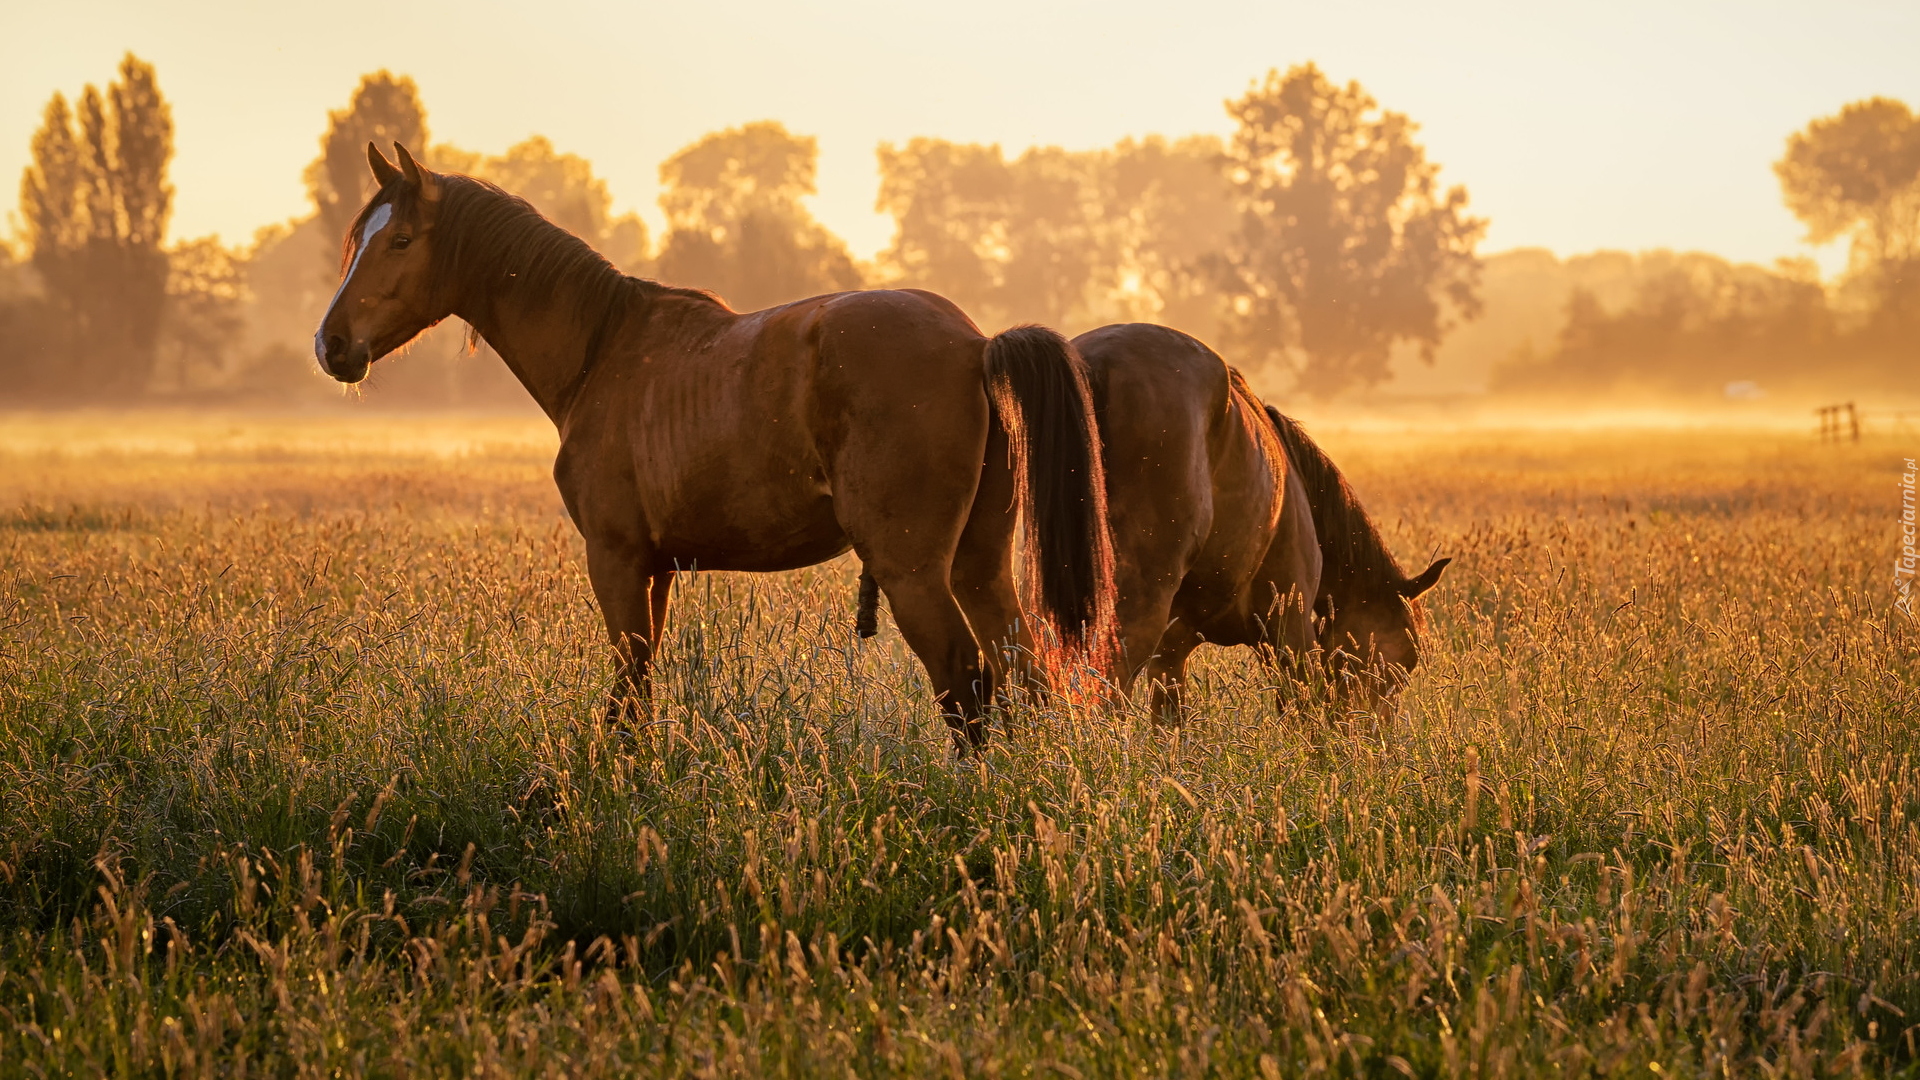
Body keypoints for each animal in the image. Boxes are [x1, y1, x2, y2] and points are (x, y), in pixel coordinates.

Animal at [311, 145, 1113, 749]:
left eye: (400, 241)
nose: (331, 345)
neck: (604, 350)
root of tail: (975, 345)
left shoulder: (615, 559)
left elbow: (628, 690)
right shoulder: (656, 569)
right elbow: (636, 690)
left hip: (912, 571)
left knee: (965, 679)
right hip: (981, 563)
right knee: (1024, 671)